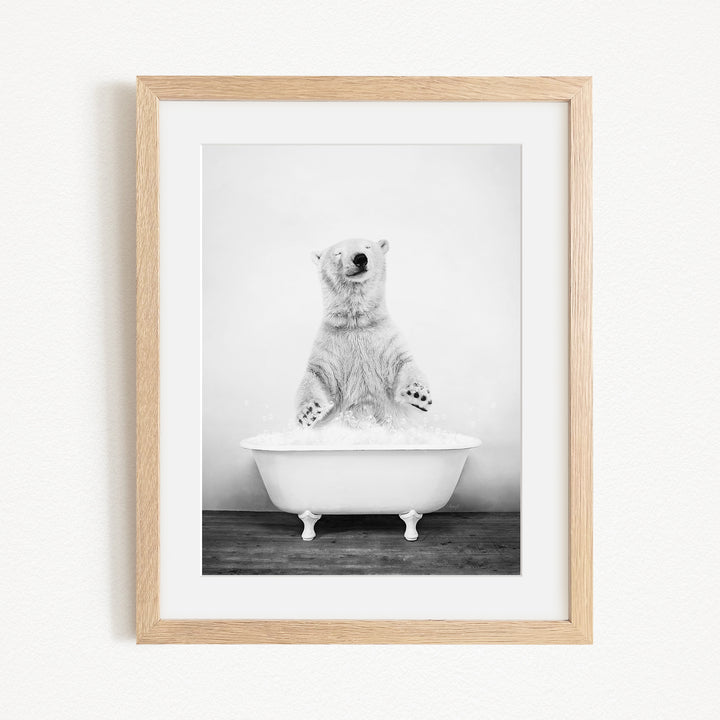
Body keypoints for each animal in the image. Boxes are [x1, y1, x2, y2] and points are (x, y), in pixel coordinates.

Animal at [296, 238, 431, 427]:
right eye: (338, 252)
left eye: (367, 246)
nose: (360, 258)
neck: (357, 322)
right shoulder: (330, 345)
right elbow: (316, 376)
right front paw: (309, 412)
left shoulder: (385, 338)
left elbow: (404, 363)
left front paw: (418, 394)